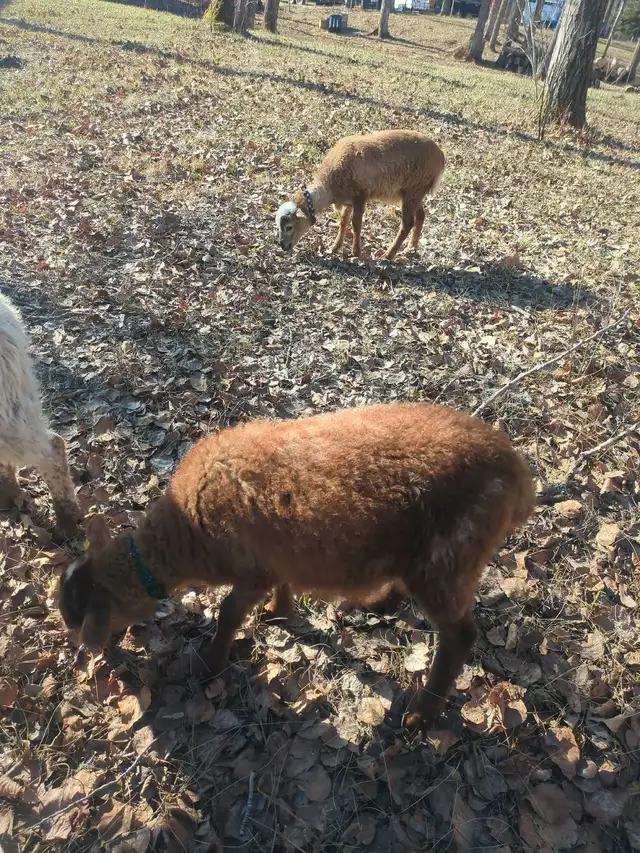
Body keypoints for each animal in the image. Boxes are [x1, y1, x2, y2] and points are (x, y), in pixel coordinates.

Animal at [57, 402, 534, 730]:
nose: (95, 661)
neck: (185, 530)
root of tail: (519, 478)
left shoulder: (251, 571)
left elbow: (228, 614)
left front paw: (210, 663)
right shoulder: (275, 562)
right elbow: (280, 590)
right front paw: (278, 614)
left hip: (448, 563)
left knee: (460, 637)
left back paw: (421, 714)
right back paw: (379, 605)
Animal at [275, 129, 445, 260]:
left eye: (289, 227)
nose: (282, 245)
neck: (329, 187)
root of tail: (441, 158)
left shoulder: (360, 195)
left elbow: (356, 224)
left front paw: (355, 252)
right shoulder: (349, 201)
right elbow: (343, 221)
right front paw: (335, 247)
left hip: (413, 191)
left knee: (407, 224)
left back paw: (388, 255)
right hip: (414, 194)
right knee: (421, 216)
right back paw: (411, 248)